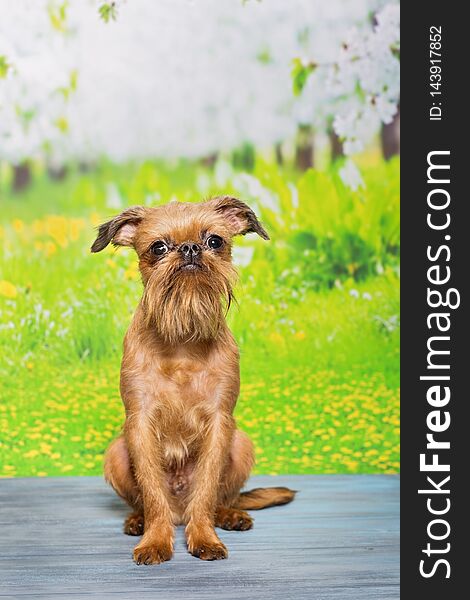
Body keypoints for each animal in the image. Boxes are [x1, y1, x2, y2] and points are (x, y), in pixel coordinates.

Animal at [91, 197, 294, 564]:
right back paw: (138, 521)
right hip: (116, 452)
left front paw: (204, 537)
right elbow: (152, 491)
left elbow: (207, 487)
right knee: (147, 501)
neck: (183, 336)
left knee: (220, 499)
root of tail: (179, 513)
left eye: (215, 241)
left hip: (241, 444)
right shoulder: (139, 423)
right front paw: (155, 540)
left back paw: (228, 515)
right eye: (158, 247)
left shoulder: (219, 423)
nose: (189, 248)